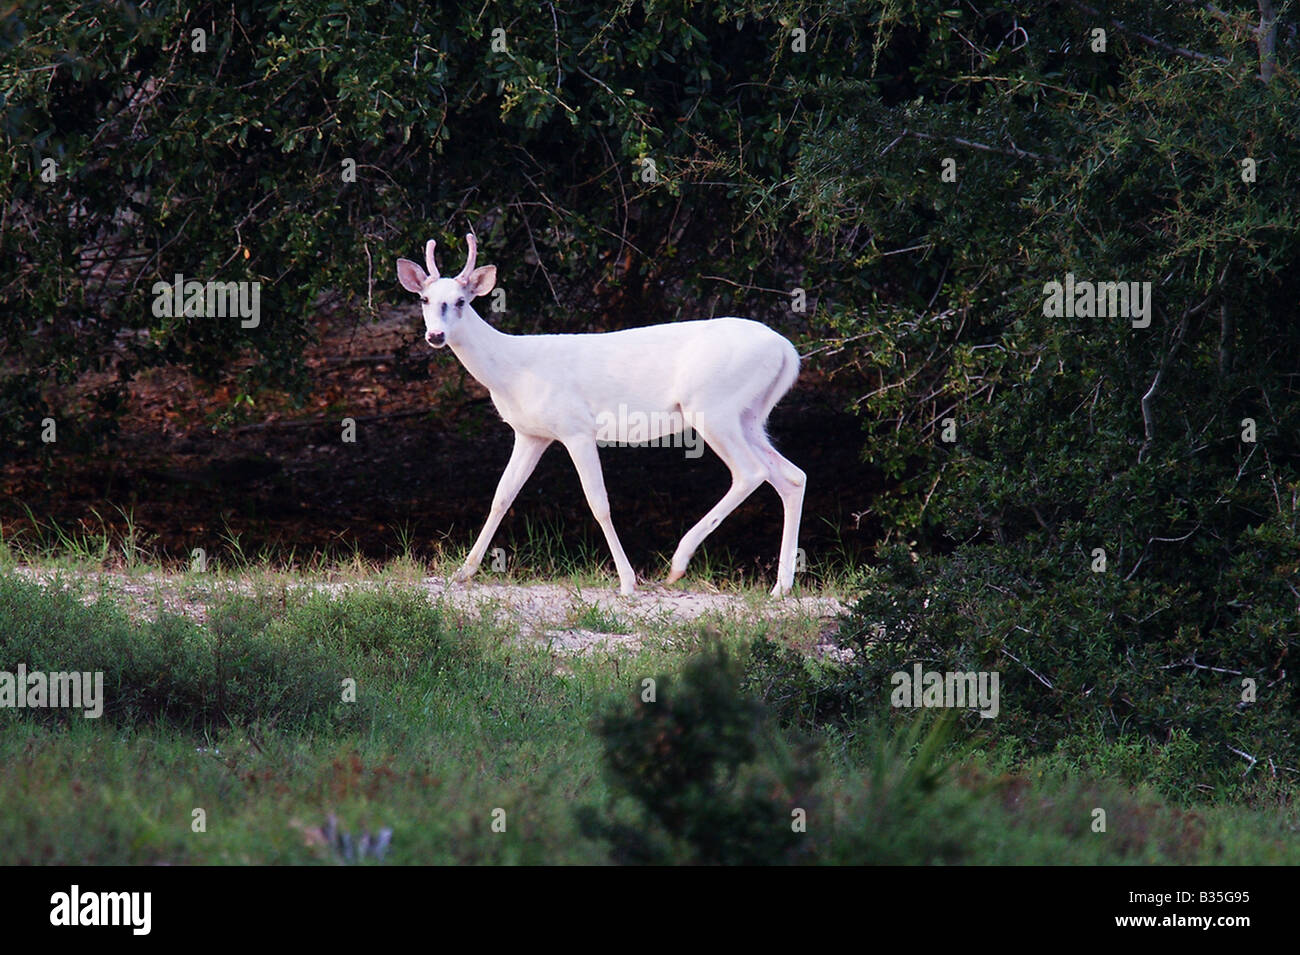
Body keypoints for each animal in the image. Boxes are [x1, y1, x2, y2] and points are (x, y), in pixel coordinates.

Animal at [395, 235, 806, 595]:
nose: (435, 336)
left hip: (712, 407)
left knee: (751, 472)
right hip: (748, 415)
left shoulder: (576, 427)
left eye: (461, 301)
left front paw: (627, 582)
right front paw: (462, 573)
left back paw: (678, 563)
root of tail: (787, 349)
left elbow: (599, 503)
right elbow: (502, 495)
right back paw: (780, 588)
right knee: (791, 476)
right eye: (424, 298)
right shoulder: (530, 433)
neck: (513, 371)